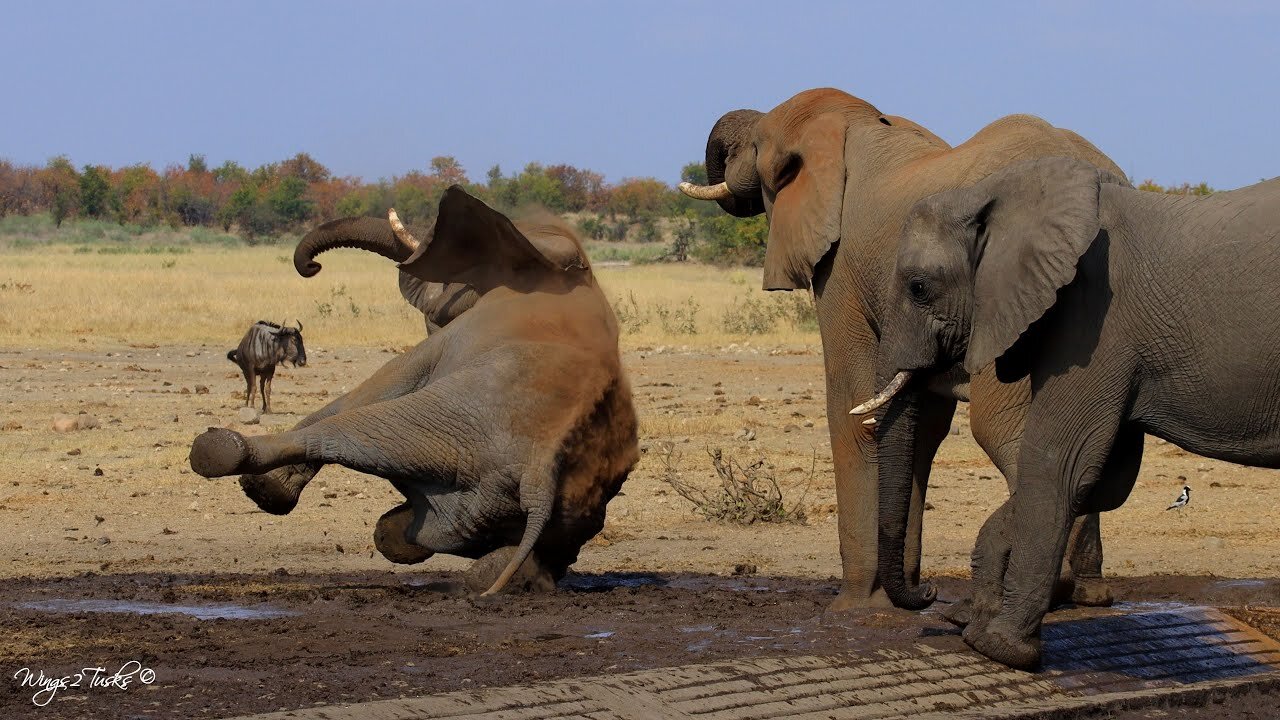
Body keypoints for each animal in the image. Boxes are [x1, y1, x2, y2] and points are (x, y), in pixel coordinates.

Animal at [189, 185, 640, 594]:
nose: (311, 267)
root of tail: (538, 479)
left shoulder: (455, 335)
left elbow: (382, 381)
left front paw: (267, 489)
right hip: (506, 497)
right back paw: (478, 569)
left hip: (446, 421)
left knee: (348, 429)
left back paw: (224, 454)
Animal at [680, 87, 1121, 607]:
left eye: (755, 145)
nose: (929, 590)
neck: (853, 122)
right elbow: (923, 428)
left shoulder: (839, 271)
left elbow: (851, 409)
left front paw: (853, 606)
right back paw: (1086, 594)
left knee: (1010, 435)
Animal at [860, 156, 1280, 666]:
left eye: (919, 287)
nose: (928, 594)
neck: (997, 194)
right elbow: (1103, 481)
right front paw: (971, 620)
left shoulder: (1095, 322)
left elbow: (1058, 465)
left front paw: (998, 647)